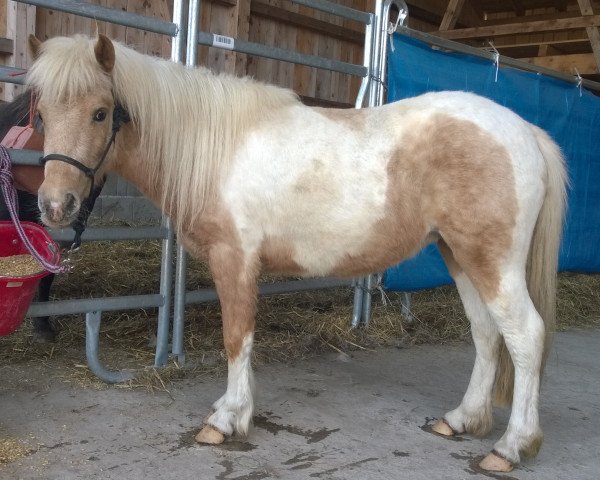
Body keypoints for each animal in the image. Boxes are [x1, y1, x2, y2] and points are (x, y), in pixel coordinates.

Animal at [24, 33, 568, 472]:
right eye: (43, 114)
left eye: (100, 112)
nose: (55, 206)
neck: (216, 148)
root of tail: (525, 132)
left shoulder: (235, 260)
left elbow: (236, 338)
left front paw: (227, 420)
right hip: (460, 256)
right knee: (486, 334)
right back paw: (461, 420)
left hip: (491, 262)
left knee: (525, 336)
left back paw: (511, 447)